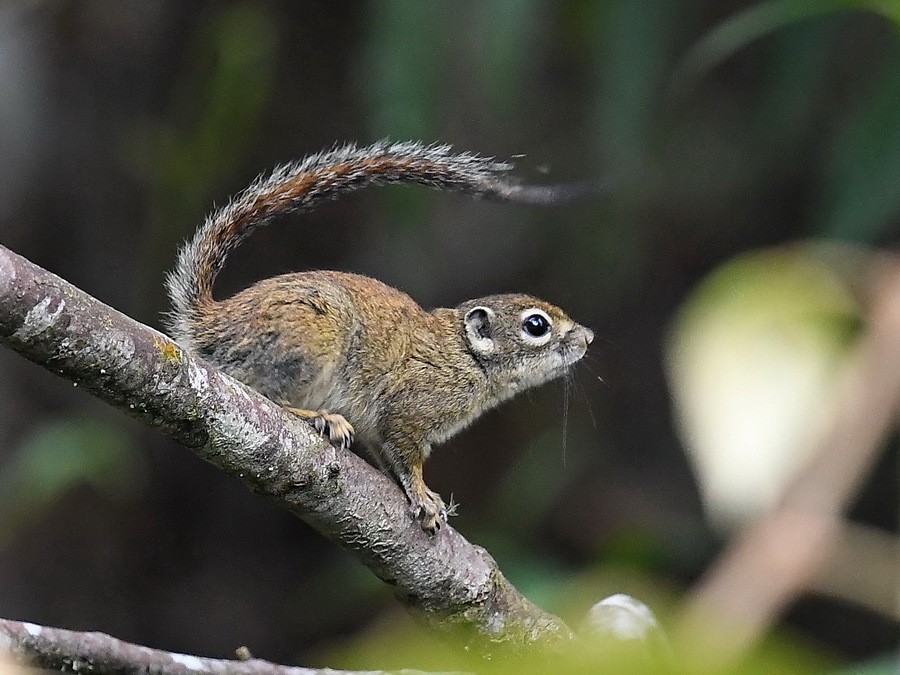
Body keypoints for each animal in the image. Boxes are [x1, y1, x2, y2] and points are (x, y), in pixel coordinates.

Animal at [165, 140, 594, 534]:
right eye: (536, 325)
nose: (588, 338)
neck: (467, 357)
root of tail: (214, 325)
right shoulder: (409, 407)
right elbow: (405, 454)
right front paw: (422, 494)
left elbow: (384, 452)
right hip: (306, 344)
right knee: (264, 392)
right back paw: (320, 417)